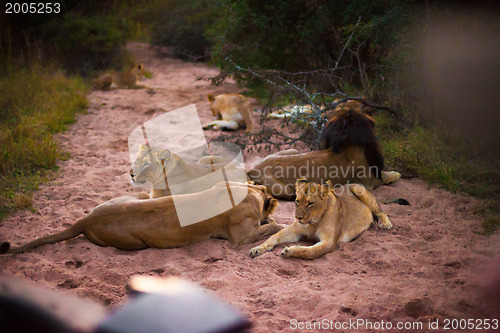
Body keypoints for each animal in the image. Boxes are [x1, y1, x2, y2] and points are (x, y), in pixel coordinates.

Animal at [0, 180, 284, 253]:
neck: (251, 190)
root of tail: (86, 219)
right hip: (137, 243)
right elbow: (272, 226)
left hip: (138, 196)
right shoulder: (239, 237)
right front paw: (275, 221)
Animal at [248, 109, 400, 198]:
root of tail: (253, 169)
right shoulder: (369, 182)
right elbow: (385, 177)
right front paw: (395, 173)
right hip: (285, 190)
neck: (348, 146)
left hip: (293, 151)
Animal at [250, 179, 394, 260]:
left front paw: (290, 250)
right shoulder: (295, 230)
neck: (313, 222)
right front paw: (258, 249)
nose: (298, 217)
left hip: (359, 189)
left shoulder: (329, 242)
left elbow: (310, 251)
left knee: (380, 210)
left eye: (310, 203)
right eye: (297, 201)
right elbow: (274, 236)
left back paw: (385, 224)